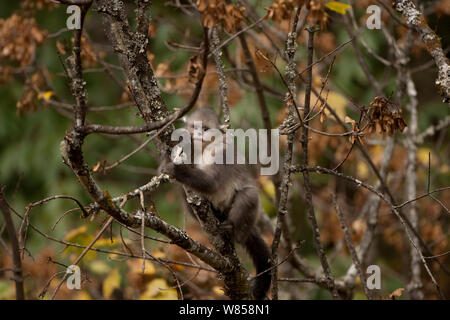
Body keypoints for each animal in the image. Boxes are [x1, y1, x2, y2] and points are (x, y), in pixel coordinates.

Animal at [163, 107, 272, 300]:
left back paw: (232, 230)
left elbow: (211, 183)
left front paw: (175, 169)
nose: (198, 134)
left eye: (206, 129)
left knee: (248, 195)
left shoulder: (223, 152)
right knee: (184, 195)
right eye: (195, 126)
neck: (204, 149)